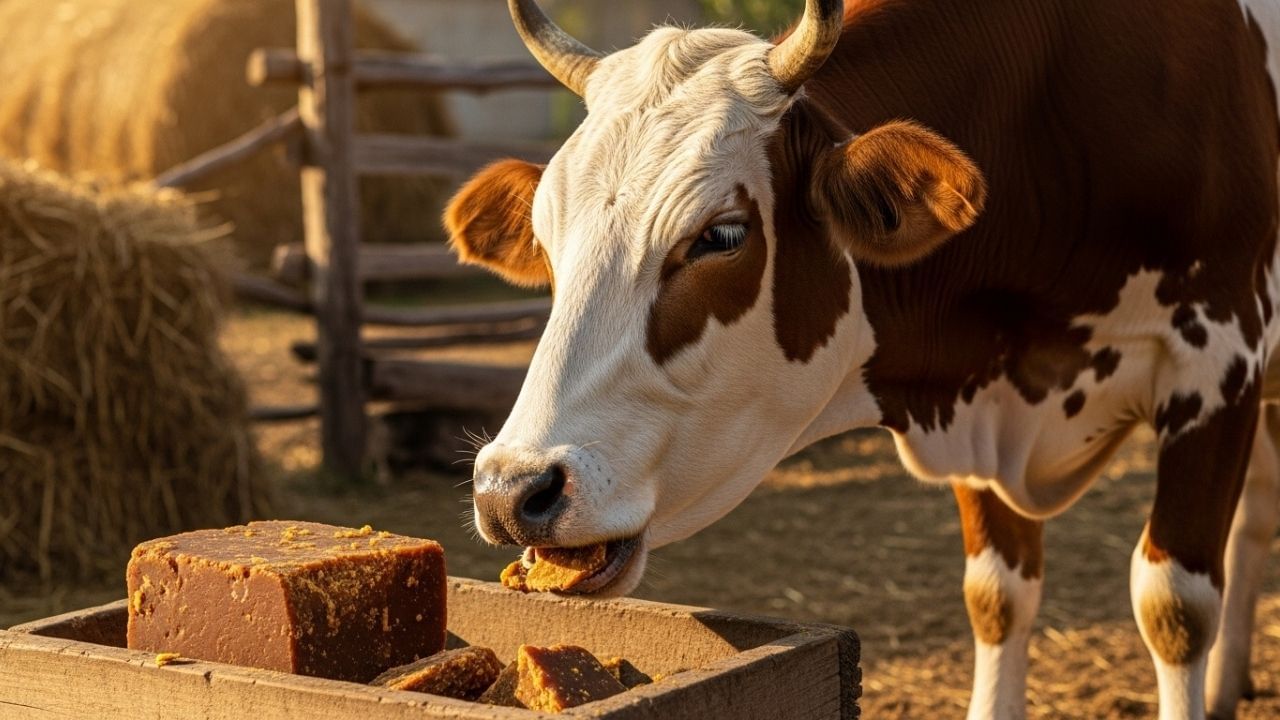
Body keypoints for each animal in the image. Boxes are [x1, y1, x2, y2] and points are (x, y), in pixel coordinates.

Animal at [443, 1, 1280, 717]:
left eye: (721, 235)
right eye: (546, 238)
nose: (511, 489)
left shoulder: (1218, 373)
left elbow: (1174, 606)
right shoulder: (976, 394)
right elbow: (997, 596)